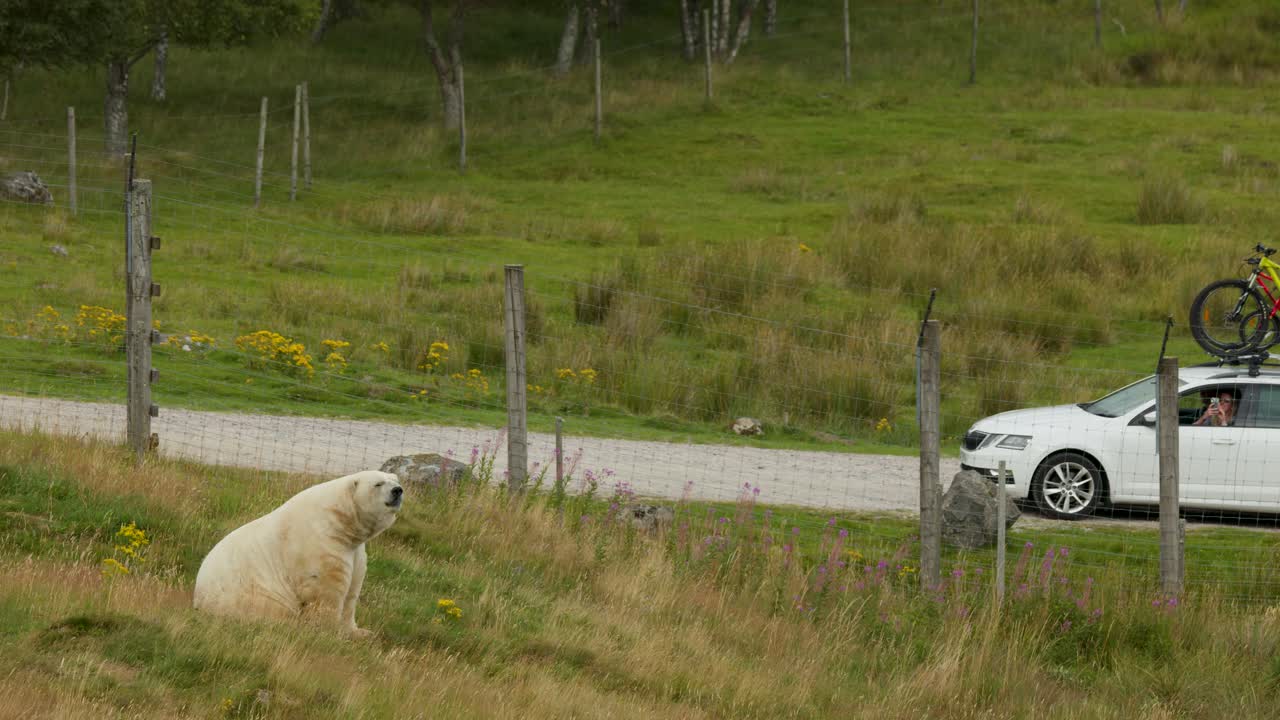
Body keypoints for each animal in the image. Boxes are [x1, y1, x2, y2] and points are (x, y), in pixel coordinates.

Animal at [192, 470, 403, 637]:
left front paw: (362, 633)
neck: (339, 521)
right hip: (251, 598)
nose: (398, 490)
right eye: (378, 483)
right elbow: (326, 593)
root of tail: (198, 600)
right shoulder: (321, 544)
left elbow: (352, 591)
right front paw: (329, 633)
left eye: (395, 479)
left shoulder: (355, 551)